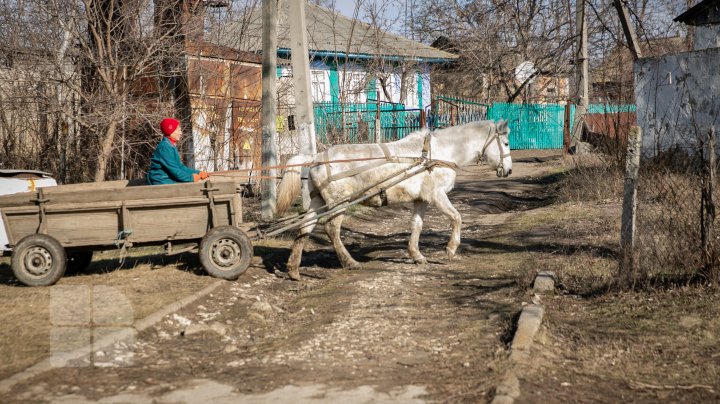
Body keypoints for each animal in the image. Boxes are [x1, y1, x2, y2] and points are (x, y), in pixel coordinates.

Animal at [274, 118, 512, 280]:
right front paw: (451, 249)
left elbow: (416, 225)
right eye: (507, 142)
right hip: (338, 203)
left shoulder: (422, 199)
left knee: (305, 227)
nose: (508, 170)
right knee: (332, 229)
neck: (436, 154)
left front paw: (416, 255)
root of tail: (315, 158)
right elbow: (457, 218)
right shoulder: (437, 195)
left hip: (318, 202)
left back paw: (293, 270)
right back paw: (350, 262)